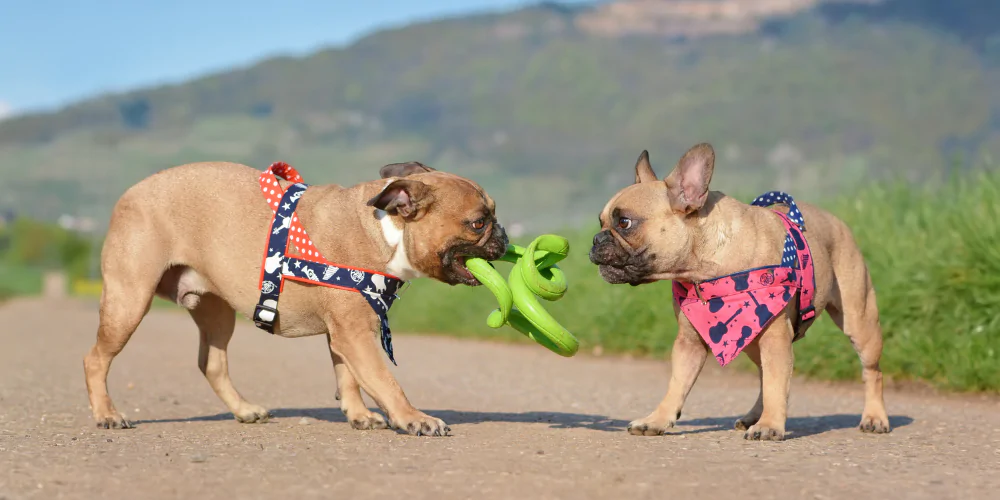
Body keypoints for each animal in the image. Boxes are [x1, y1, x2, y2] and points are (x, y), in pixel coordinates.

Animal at [83, 160, 508, 434]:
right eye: (478, 222)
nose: (504, 235)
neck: (386, 229)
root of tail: (130, 193)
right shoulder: (355, 333)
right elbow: (383, 380)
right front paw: (413, 417)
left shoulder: (343, 333)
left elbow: (349, 376)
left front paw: (359, 415)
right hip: (129, 299)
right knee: (96, 359)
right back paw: (107, 414)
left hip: (214, 310)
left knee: (212, 363)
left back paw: (244, 410)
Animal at [588, 143, 888, 440]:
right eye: (601, 221)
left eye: (625, 223)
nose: (596, 239)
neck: (707, 270)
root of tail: (836, 220)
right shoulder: (689, 342)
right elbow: (677, 385)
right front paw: (657, 420)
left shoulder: (775, 335)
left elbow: (777, 384)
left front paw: (770, 426)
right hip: (753, 340)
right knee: (763, 375)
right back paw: (754, 415)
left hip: (859, 321)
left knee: (871, 371)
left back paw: (874, 417)